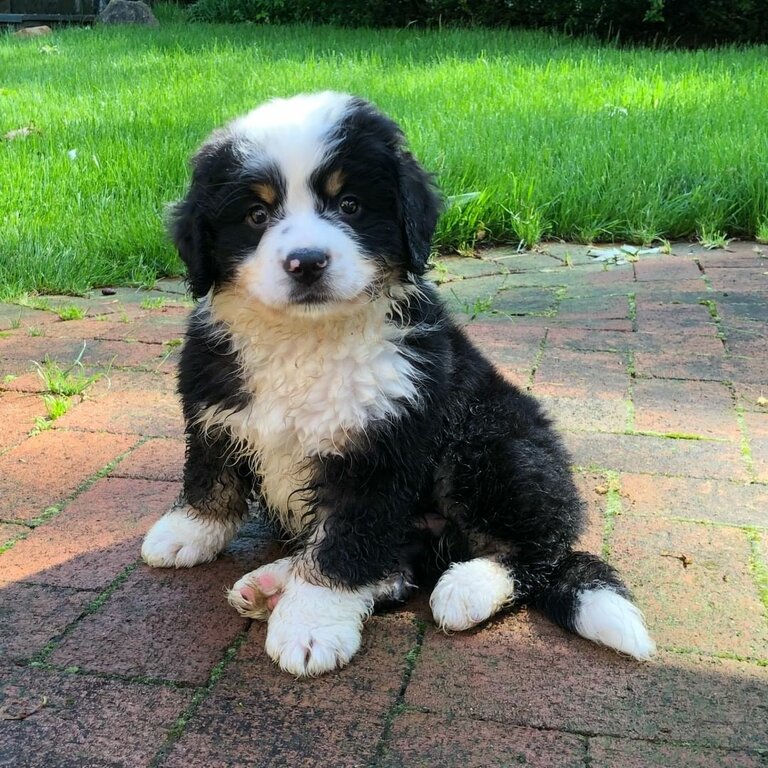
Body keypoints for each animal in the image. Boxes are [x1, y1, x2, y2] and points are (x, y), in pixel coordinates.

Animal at [140, 91, 656, 680]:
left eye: (350, 205)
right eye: (257, 215)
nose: (307, 263)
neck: (307, 339)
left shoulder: (380, 448)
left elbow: (345, 546)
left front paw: (311, 625)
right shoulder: (215, 401)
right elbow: (212, 473)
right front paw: (187, 531)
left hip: (491, 442)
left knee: (536, 550)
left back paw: (467, 587)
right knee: (402, 563)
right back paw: (272, 583)